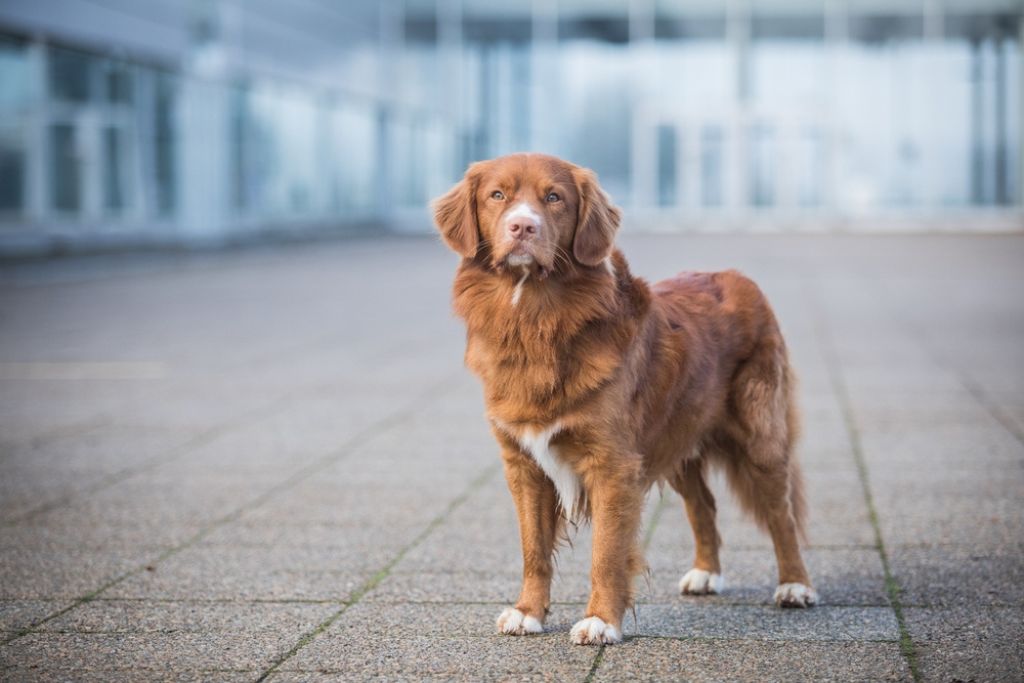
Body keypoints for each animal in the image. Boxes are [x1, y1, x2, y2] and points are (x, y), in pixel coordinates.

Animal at [432, 153, 815, 647]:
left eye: (554, 197)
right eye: (497, 196)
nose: (522, 227)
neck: (536, 321)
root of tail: (736, 276)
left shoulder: (613, 464)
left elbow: (606, 552)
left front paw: (600, 621)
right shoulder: (523, 463)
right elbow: (533, 548)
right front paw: (528, 612)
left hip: (759, 436)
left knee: (781, 513)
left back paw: (795, 585)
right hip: (675, 438)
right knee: (703, 505)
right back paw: (706, 573)